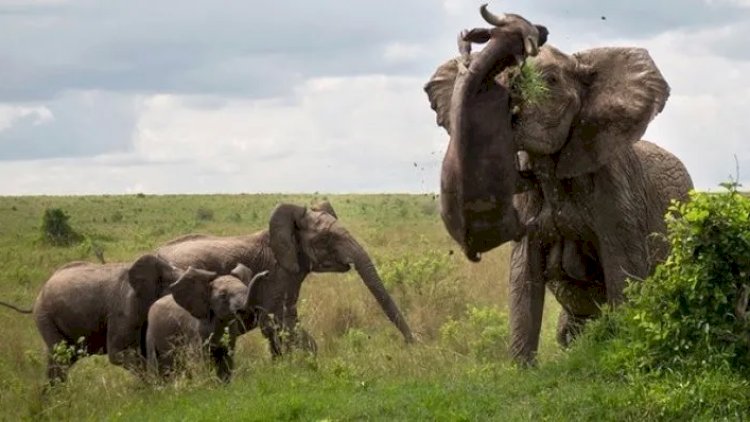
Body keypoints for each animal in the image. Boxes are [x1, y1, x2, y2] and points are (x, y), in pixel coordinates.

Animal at [426, 5, 696, 362]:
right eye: (502, 79)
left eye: (551, 82)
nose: (537, 30)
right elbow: (522, 279)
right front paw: (521, 369)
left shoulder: (617, 192)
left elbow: (623, 272)